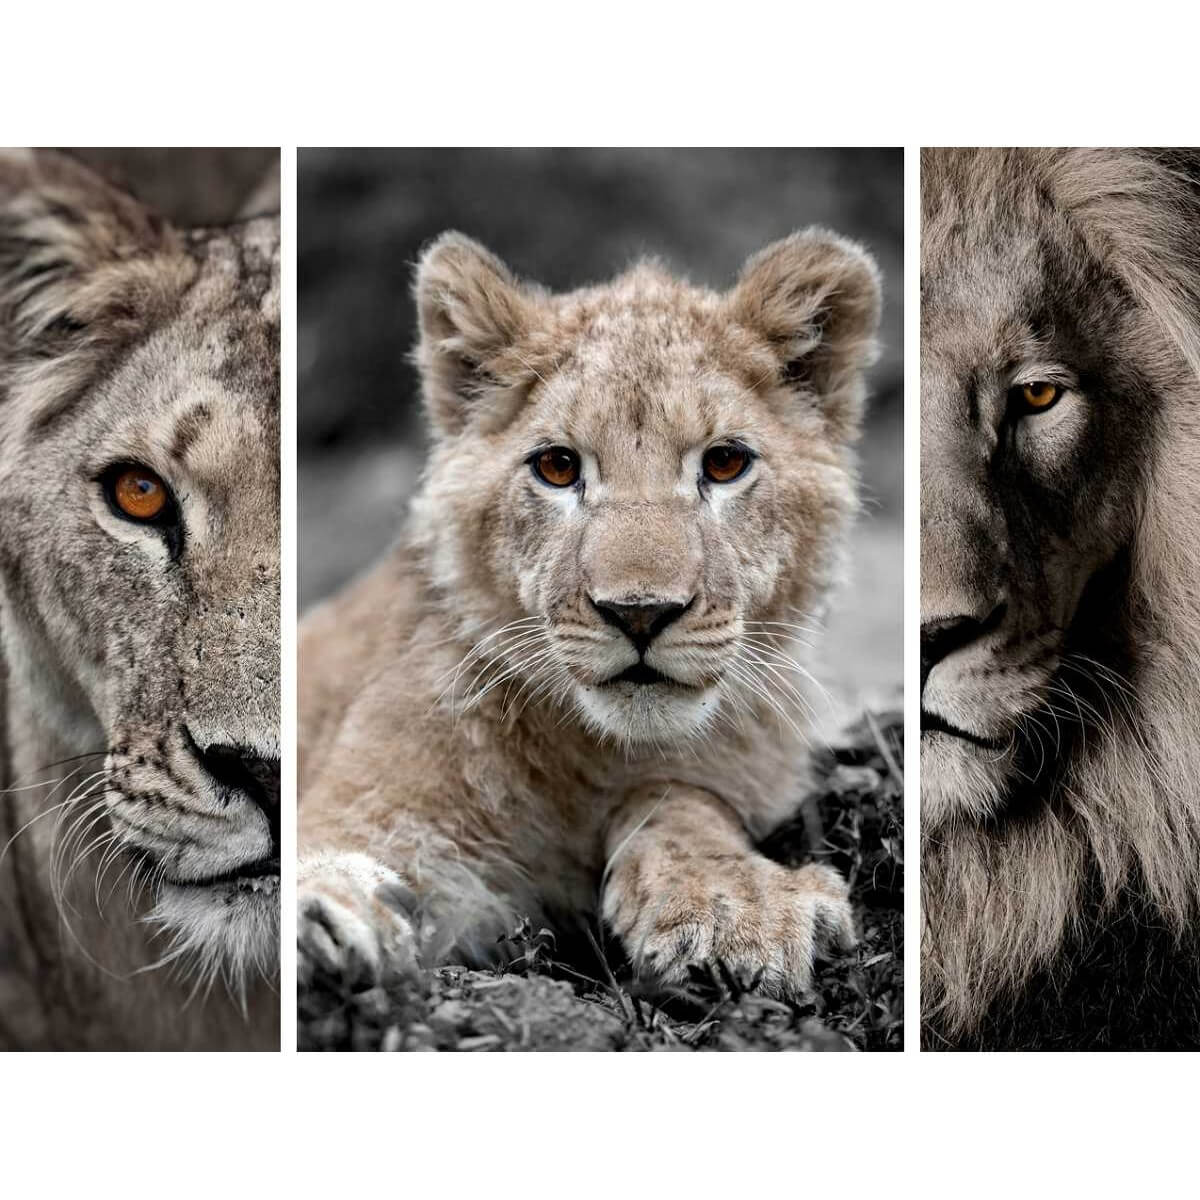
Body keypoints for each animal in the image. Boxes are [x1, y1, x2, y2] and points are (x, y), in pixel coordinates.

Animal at [298, 228, 881, 1010]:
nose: (640, 614)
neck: (593, 757)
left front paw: (734, 907)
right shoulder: (370, 811)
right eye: (556, 467)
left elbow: (678, 800)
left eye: (725, 464)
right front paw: (320, 919)